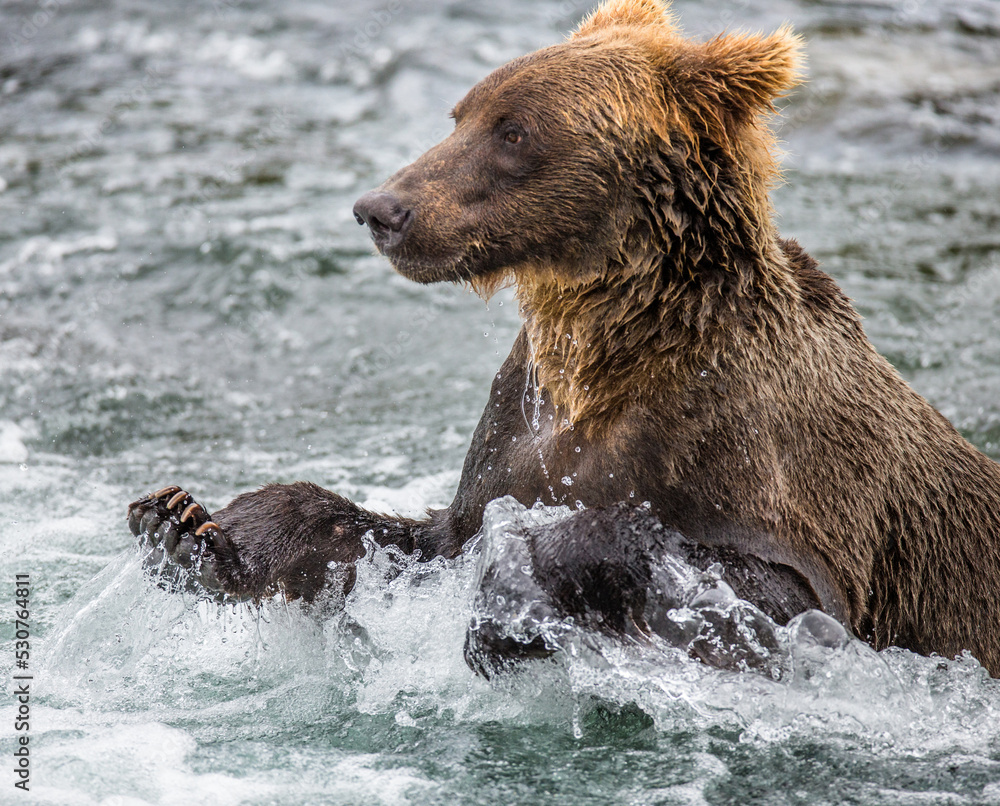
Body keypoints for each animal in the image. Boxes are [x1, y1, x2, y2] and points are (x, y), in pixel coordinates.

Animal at [128, 0, 1000, 677]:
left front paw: (507, 608)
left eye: (514, 131)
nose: (381, 209)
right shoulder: (517, 430)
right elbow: (413, 540)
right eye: (461, 114)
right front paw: (190, 527)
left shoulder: (767, 472)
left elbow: (759, 588)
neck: (609, 352)